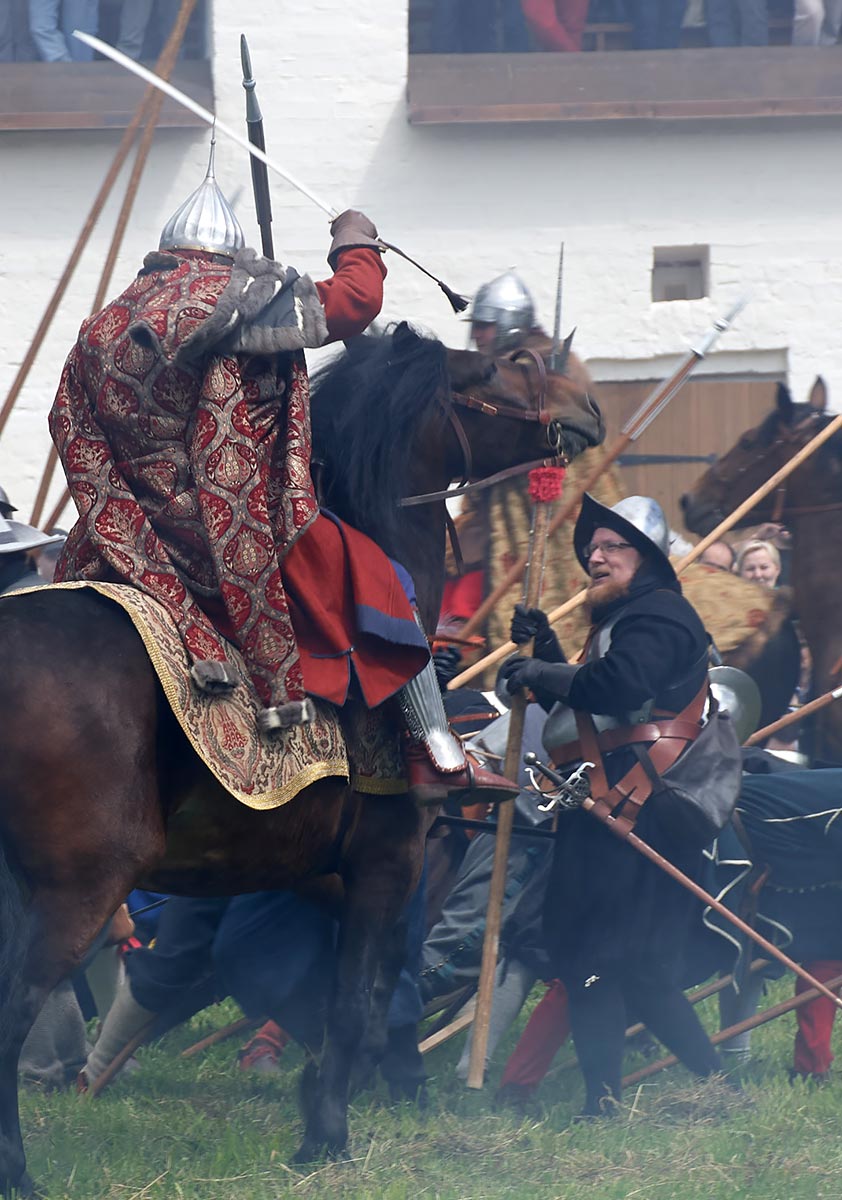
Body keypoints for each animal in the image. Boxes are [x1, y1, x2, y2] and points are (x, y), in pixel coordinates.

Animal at [0, 323, 602, 1195]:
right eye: (501, 367)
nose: (588, 408)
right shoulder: (388, 860)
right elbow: (354, 1000)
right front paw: (328, 1138)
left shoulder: (324, 874)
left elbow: (344, 1002)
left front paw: (326, 1105)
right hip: (82, 884)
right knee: (15, 1012)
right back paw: (18, 1171)